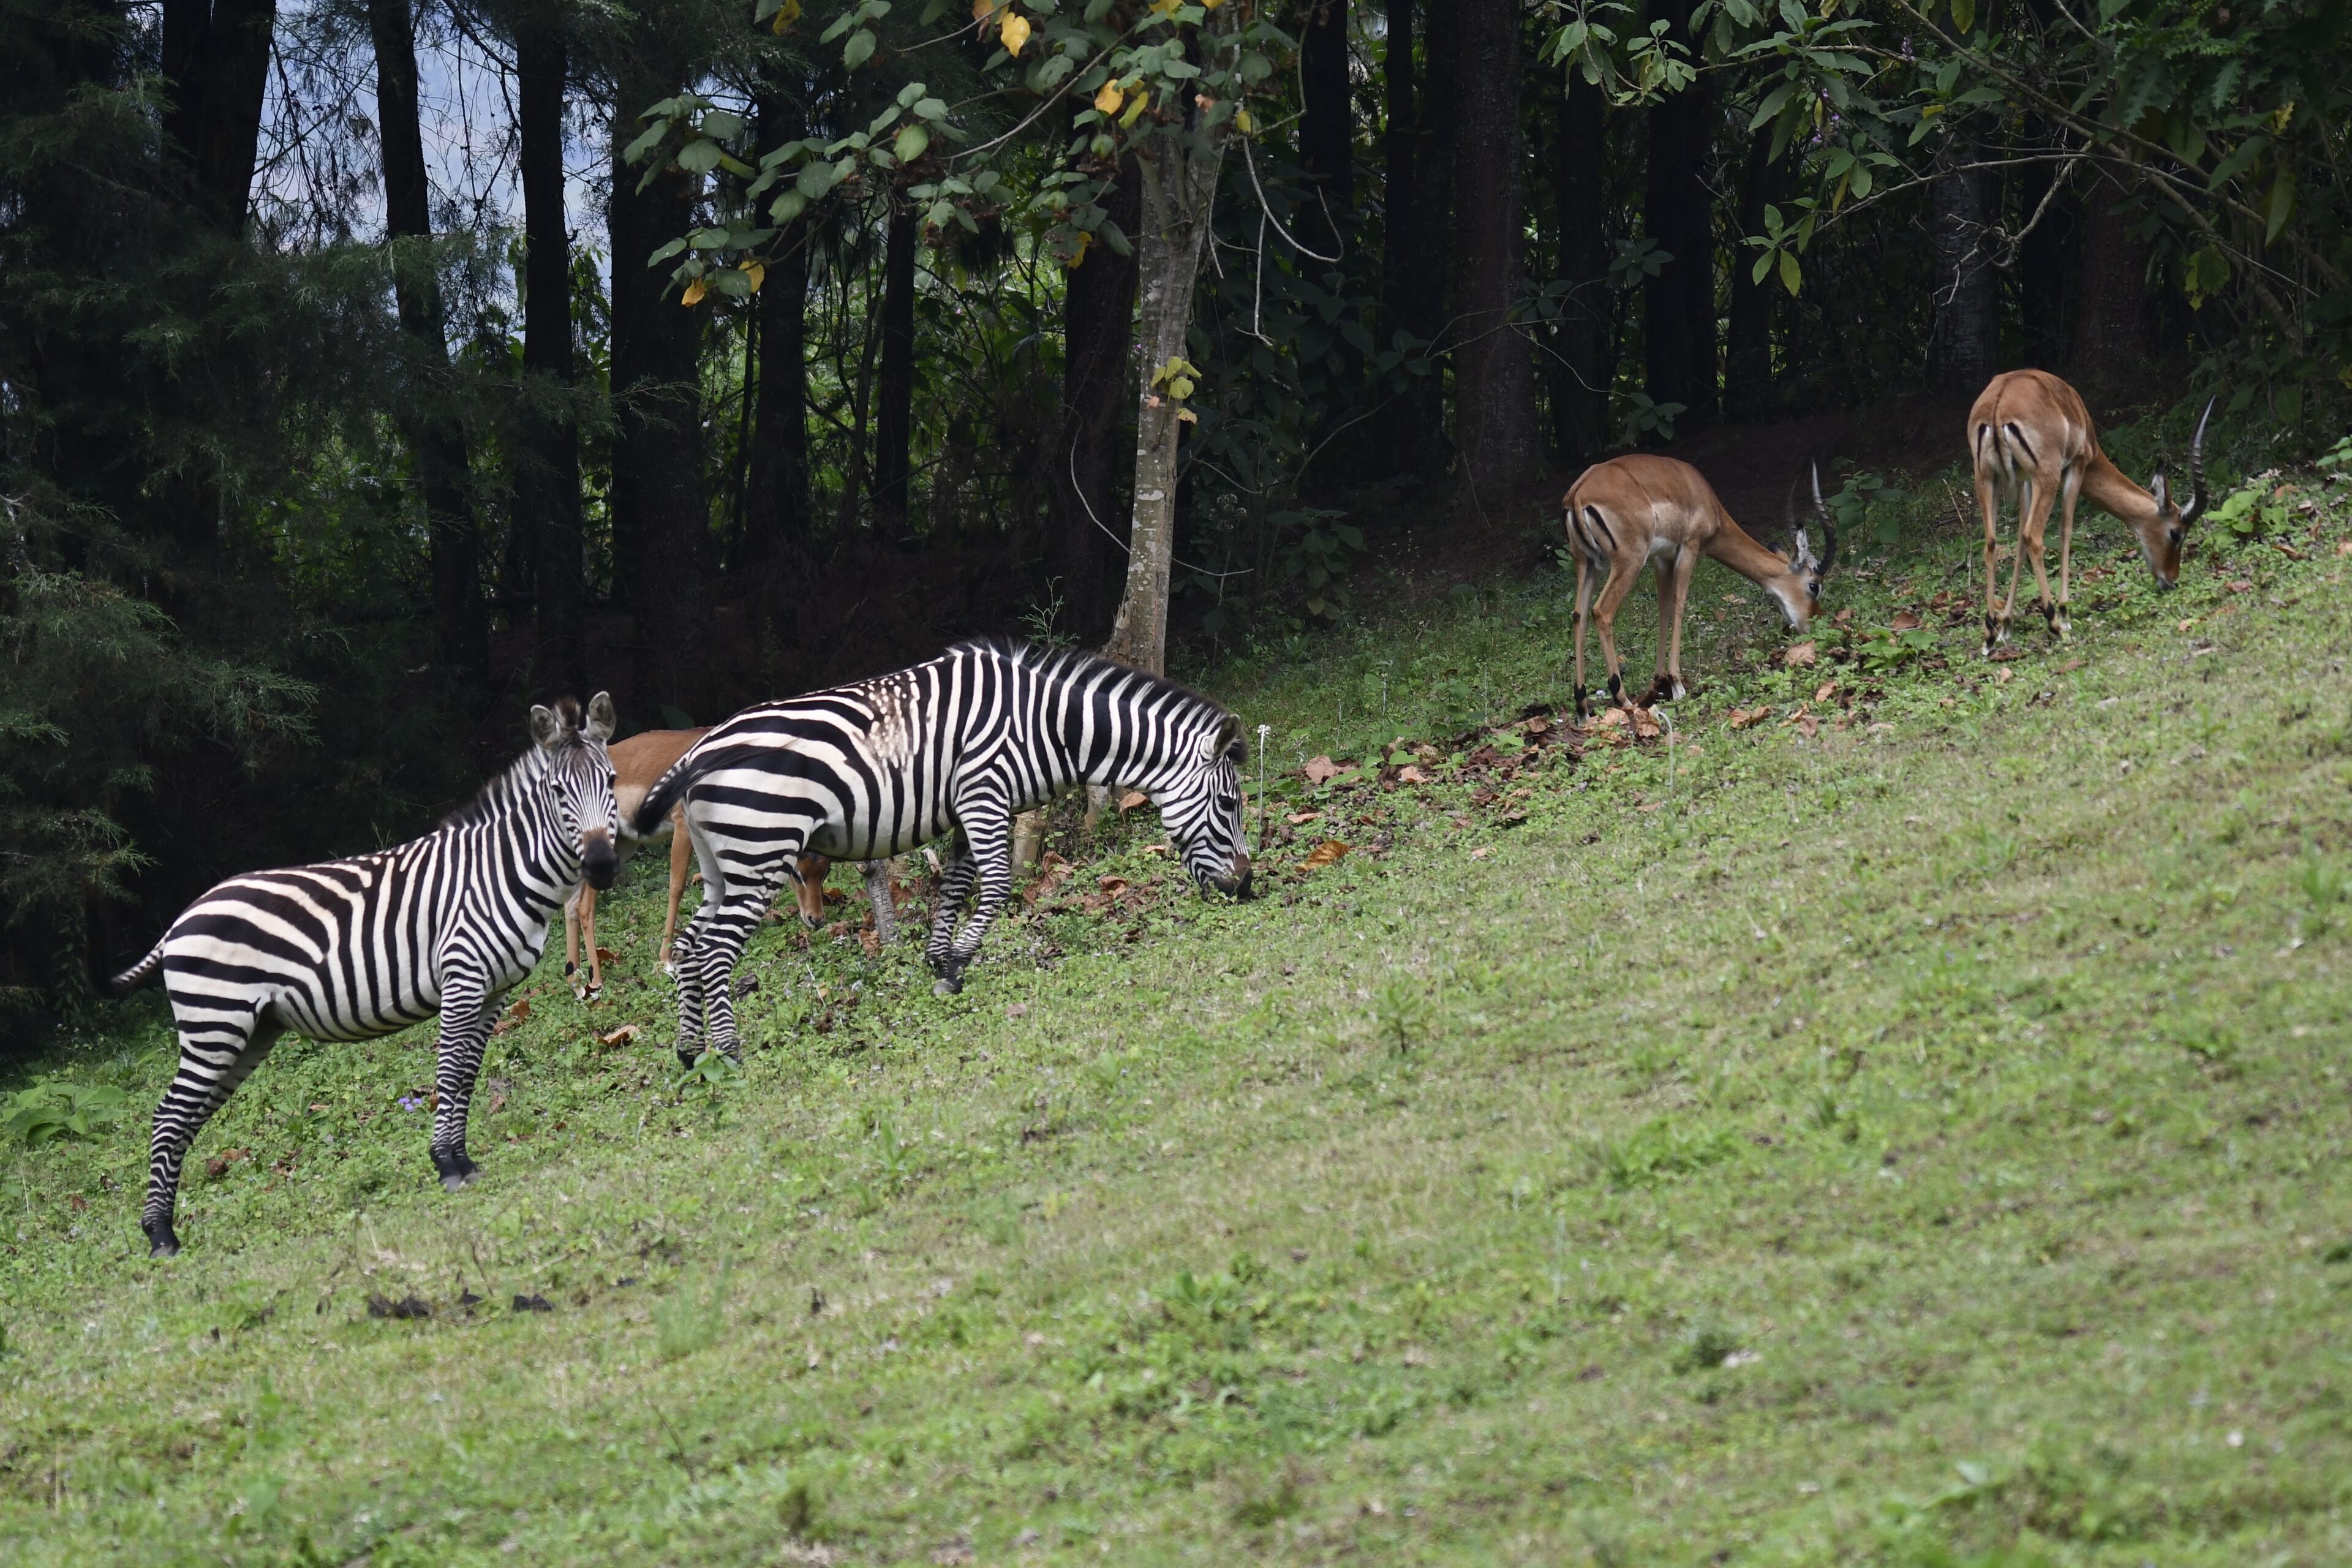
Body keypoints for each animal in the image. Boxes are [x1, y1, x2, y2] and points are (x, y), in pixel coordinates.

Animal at [108, 696, 620, 1256]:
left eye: (612, 781)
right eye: (558, 793)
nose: (601, 865)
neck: (503, 872)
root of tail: (179, 921)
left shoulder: (495, 994)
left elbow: (466, 1076)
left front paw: (463, 1161)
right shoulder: (462, 978)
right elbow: (448, 1073)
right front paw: (447, 1165)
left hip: (247, 1033)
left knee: (185, 1120)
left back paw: (163, 1229)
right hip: (216, 1025)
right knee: (168, 1115)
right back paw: (161, 1237)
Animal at [633, 639, 1253, 1065]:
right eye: (1228, 804)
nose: (1247, 888)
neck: (1049, 725)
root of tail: (696, 753)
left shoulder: (965, 807)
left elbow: (956, 886)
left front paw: (939, 957)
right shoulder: (985, 793)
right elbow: (997, 884)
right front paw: (956, 969)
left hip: (722, 865)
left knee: (689, 946)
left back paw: (690, 1051)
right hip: (761, 851)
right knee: (714, 950)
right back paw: (731, 1052)